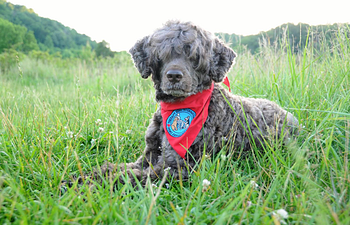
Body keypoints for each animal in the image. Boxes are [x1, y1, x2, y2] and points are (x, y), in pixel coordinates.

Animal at [82, 21, 298, 187]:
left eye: (194, 57)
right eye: (162, 55)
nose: (174, 75)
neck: (177, 106)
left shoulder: (176, 168)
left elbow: (125, 177)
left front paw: (90, 186)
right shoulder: (148, 157)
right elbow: (117, 168)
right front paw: (88, 175)